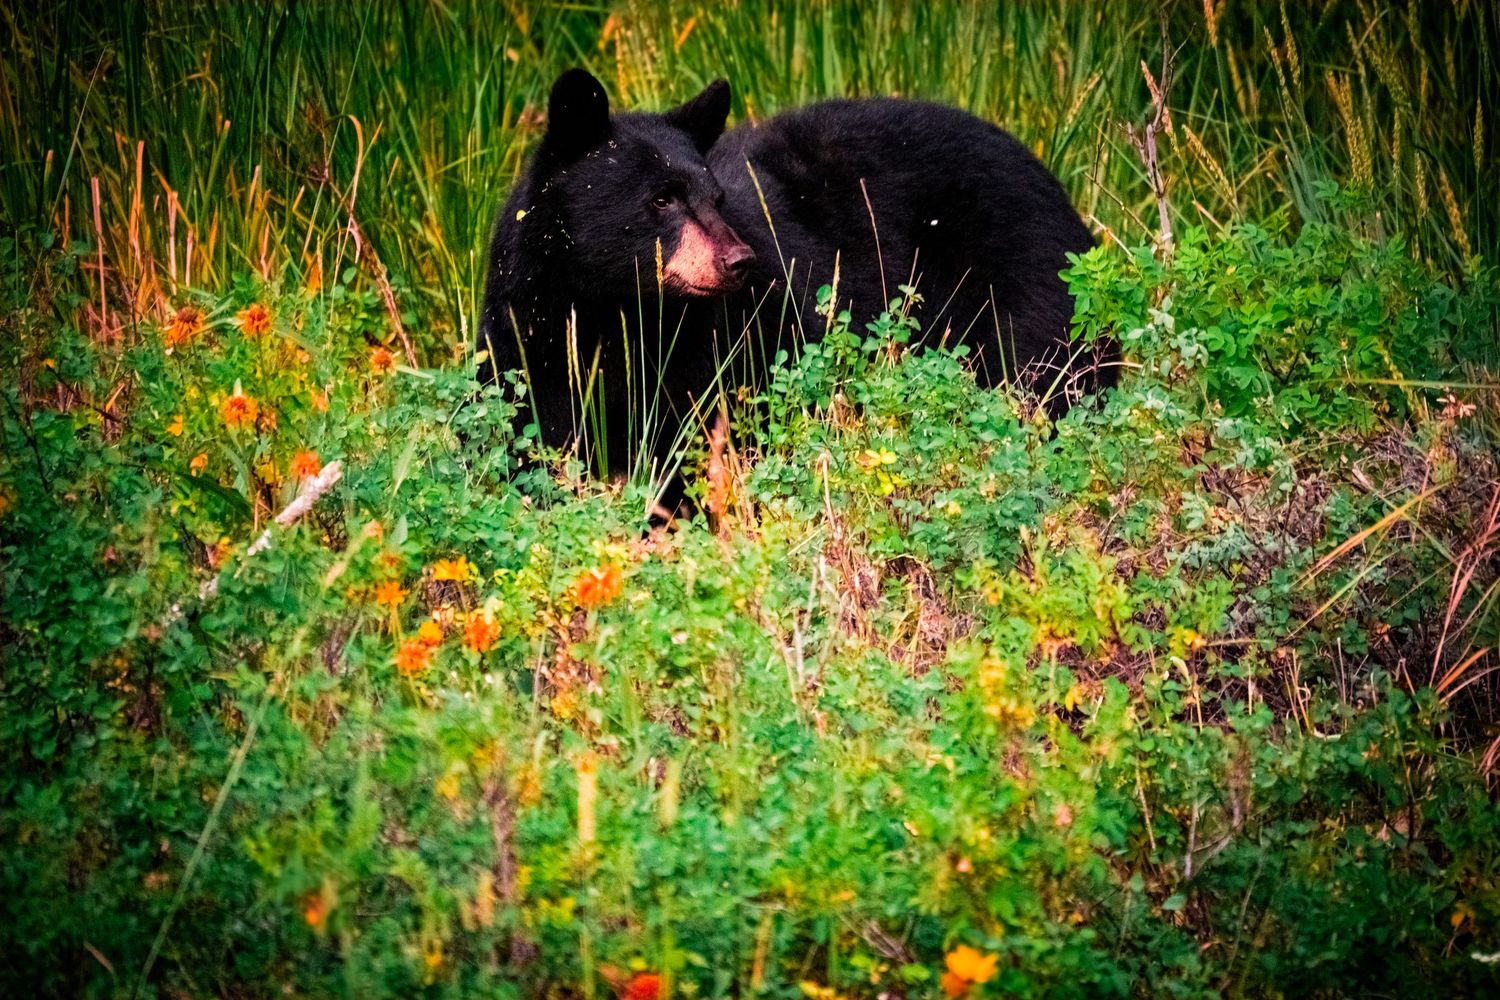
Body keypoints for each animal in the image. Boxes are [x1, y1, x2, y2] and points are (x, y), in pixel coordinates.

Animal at [478, 69, 1111, 491]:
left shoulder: (721, 349)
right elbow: (530, 438)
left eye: (716, 197)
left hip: (1022, 288)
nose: (740, 260)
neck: (613, 312)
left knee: (1041, 372)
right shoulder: (524, 340)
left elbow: (697, 441)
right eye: (662, 198)